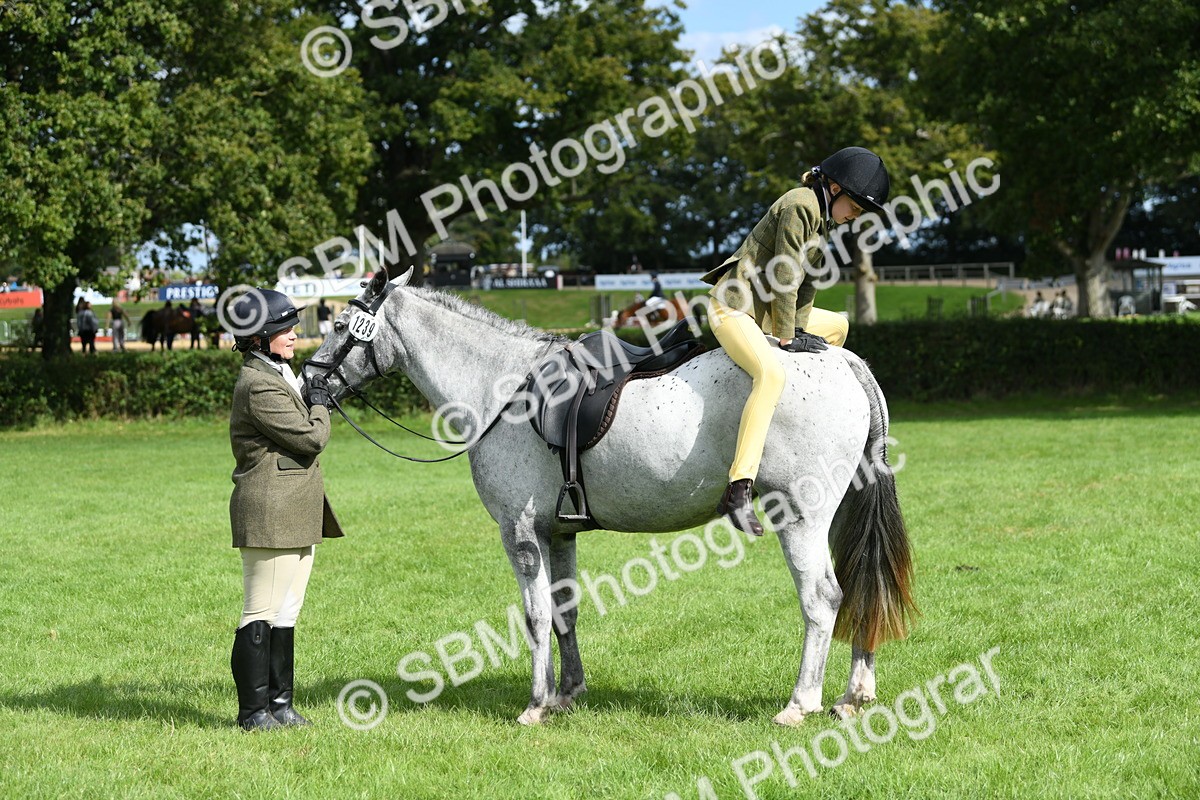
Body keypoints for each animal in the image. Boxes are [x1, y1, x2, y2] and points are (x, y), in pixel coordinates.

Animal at [305, 268, 916, 726]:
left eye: (336, 322)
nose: (308, 382)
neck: (503, 386)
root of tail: (842, 361)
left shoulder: (520, 534)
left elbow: (535, 616)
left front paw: (535, 705)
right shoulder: (558, 534)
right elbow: (564, 612)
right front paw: (567, 693)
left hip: (802, 519)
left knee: (823, 599)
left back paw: (800, 703)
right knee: (860, 586)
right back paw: (853, 695)